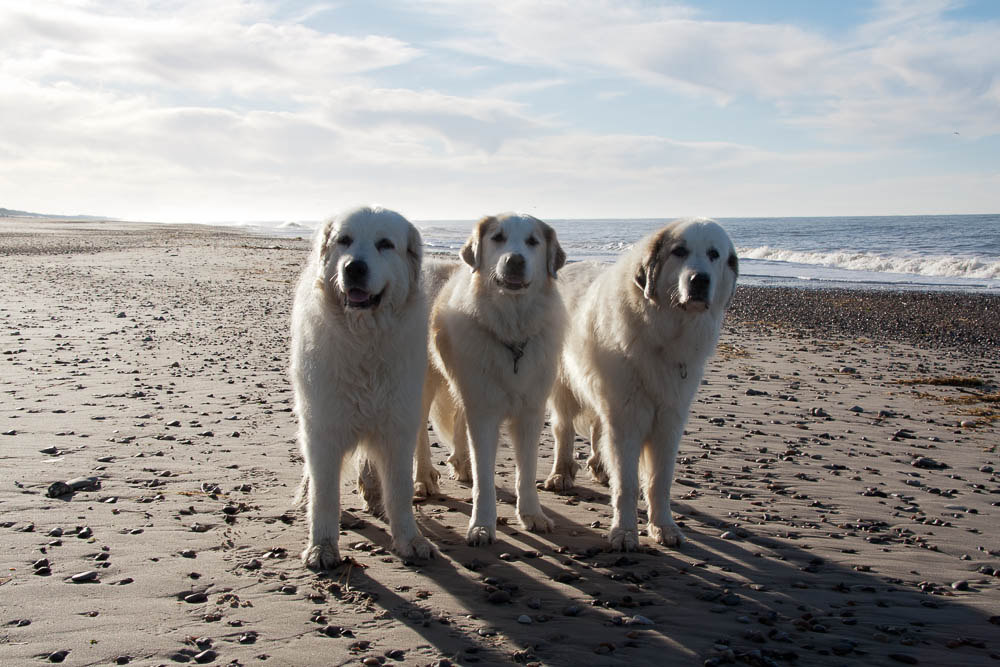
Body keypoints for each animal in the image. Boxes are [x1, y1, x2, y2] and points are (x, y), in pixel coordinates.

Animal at [288, 205, 432, 568]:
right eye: (344, 240)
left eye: (385, 244)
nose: (353, 268)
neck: (365, 340)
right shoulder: (323, 427)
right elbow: (324, 494)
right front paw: (322, 547)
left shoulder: (397, 428)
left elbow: (400, 490)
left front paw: (409, 539)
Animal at [414, 215, 568, 548]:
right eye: (498, 238)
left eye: (533, 242)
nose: (515, 261)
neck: (512, 328)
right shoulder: (484, 412)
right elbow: (485, 476)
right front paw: (482, 526)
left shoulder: (530, 412)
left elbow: (527, 471)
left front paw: (532, 515)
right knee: (419, 432)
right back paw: (423, 478)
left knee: (459, 419)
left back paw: (462, 464)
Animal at [544, 219, 740, 552]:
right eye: (679, 251)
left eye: (714, 254)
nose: (700, 280)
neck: (663, 331)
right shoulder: (628, 417)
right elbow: (627, 483)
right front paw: (624, 532)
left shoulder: (668, 421)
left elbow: (659, 481)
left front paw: (664, 526)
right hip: (565, 387)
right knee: (564, 430)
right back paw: (561, 473)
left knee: (597, 426)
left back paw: (600, 466)